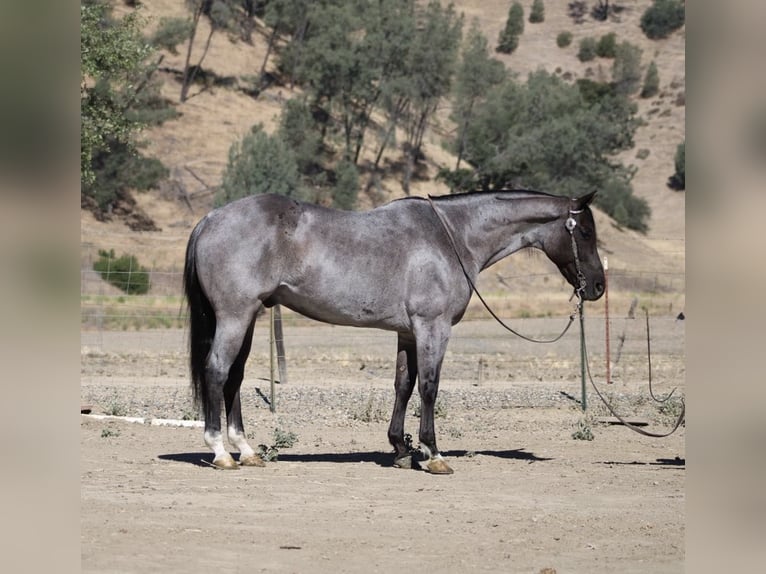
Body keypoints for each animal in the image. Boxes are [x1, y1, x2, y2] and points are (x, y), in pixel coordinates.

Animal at [183, 190, 605, 473]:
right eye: (584, 231)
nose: (598, 287)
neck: (451, 237)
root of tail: (210, 218)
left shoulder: (408, 333)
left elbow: (403, 384)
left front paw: (401, 450)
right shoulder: (433, 327)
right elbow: (430, 387)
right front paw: (433, 454)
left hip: (249, 317)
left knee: (234, 377)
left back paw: (246, 450)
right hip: (236, 316)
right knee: (217, 370)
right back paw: (220, 452)